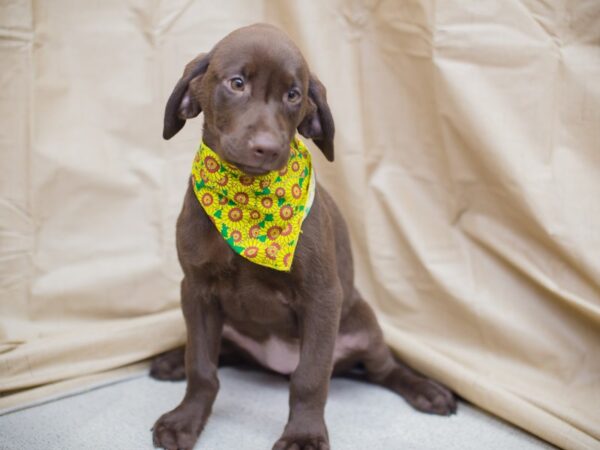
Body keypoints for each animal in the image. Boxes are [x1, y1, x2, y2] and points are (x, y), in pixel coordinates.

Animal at [151, 23, 454, 450]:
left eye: (294, 95)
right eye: (237, 83)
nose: (267, 148)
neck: (246, 203)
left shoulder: (322, 295)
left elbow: (310, 378)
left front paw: (304, 435)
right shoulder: (196, 289)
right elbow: (202, 366)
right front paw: (186, 419)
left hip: (364, 326)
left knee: (384, 369)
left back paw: (426, 390)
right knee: (225, 352)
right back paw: (171, 360)